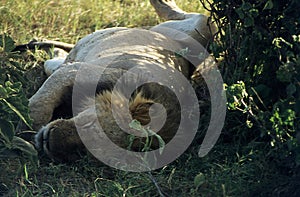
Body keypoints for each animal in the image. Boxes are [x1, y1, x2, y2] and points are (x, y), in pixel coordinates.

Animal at [31, 0, 216, 163]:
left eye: (83, 152)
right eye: (87, 125)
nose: (47, 140)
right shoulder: (77, 72)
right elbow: (40, 106)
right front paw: (29, 128)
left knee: (56, 61)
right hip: (194, 27)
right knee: (195, 16)